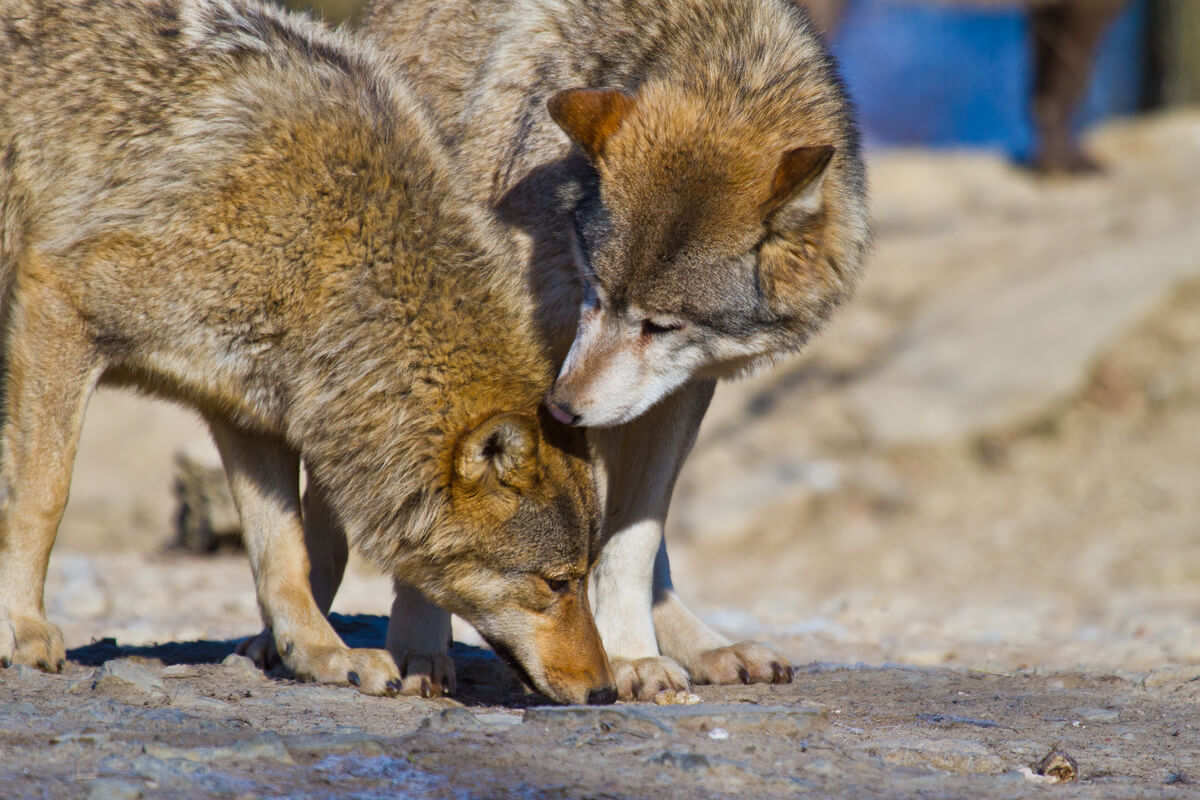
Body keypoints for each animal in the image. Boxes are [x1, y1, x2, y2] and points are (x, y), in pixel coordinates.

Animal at [0, 0, 614, 705]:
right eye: (555, 583)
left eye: (585, 578)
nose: (608, 693)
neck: (325, 254)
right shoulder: (58, 303)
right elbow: (44, 496)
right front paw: (20, 627)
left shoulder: (249, 412)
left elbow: (286, 556)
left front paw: (322, 654)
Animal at [350, 0, 873, 700]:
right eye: (596, 290)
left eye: (663, 326)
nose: (562, 408)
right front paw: (417, 649)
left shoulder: (680, 391)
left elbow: (634, 543)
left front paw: (629, 657)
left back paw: (702, 647)